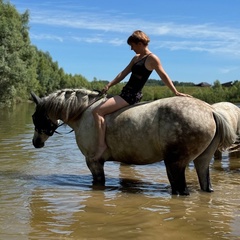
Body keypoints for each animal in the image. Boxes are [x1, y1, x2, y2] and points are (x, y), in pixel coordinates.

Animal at [30, 88, 236, 195]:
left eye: (35, 116)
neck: (84, 113)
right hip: (202, 161)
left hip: (175, 164)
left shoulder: (93, 162)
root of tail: (211, 111)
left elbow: (99, 182)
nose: (35, 142)